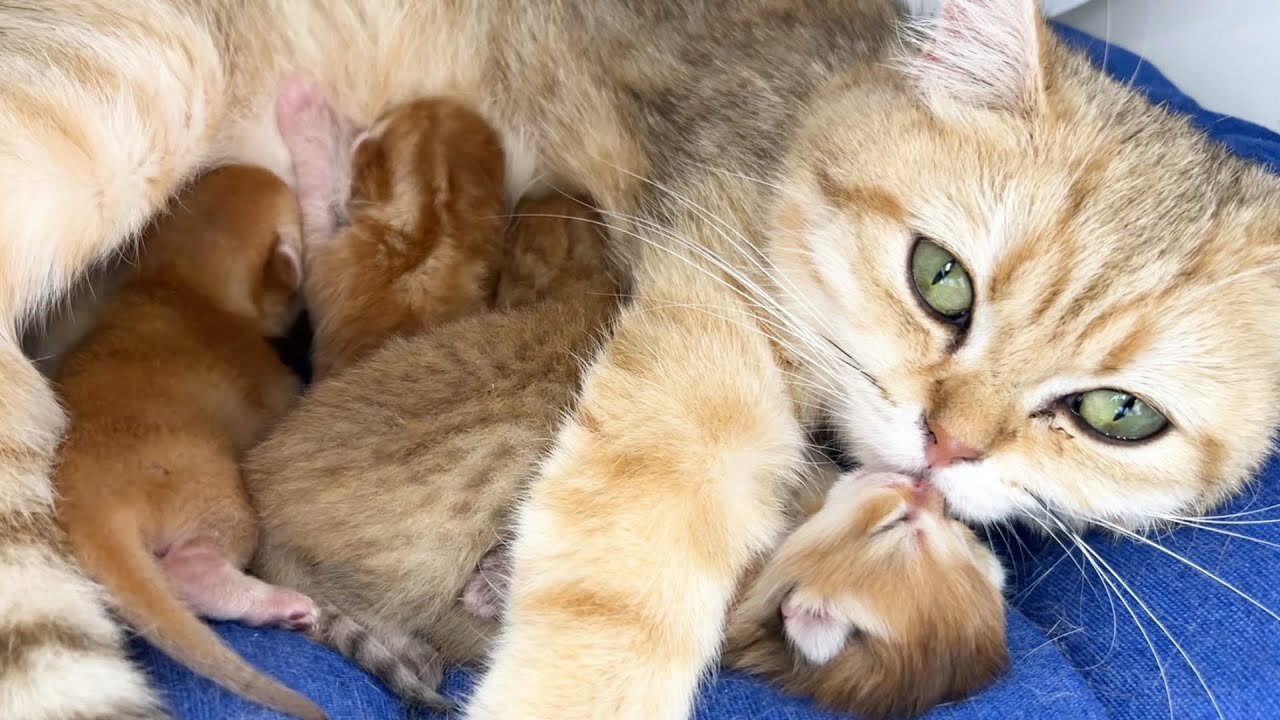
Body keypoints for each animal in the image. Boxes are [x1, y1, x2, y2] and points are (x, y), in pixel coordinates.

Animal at [54, 163, 325, 717]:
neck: (181, 283)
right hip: (218, 498)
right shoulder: (277, 383)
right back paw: (277, 605)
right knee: (190, 570)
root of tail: (85, 506)